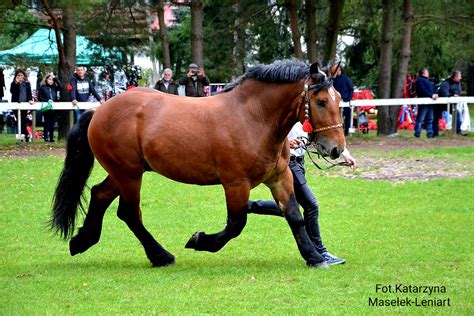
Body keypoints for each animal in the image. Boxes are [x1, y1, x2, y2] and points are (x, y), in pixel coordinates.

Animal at [51, 59, 346, 266]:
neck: (252, 118)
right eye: (321, 101)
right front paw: (201, 241)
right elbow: (236, 224)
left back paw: (82, 241)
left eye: (340, 98)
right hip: (129, 174)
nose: (336, 149)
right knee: (129, 212)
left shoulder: (280, 176)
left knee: (99, 194)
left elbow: (294, 215)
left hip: (125, 172)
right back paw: (161, 256)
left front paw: (314, 257)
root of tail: (99, 109)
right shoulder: (235, 183)